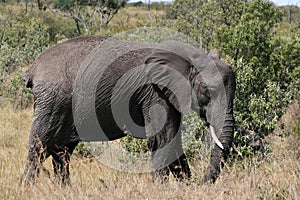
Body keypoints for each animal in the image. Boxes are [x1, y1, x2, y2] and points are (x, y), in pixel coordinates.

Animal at [21, 35, 237, 184]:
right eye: (208, 92)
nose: (202, 182)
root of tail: (33, 68)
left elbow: (172, 139)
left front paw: (185, 185)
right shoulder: (153, 93)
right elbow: (162, 138)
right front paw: (160, 187)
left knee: (61, 151)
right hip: (53, 102)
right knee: (39, 147)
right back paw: (27, 189)